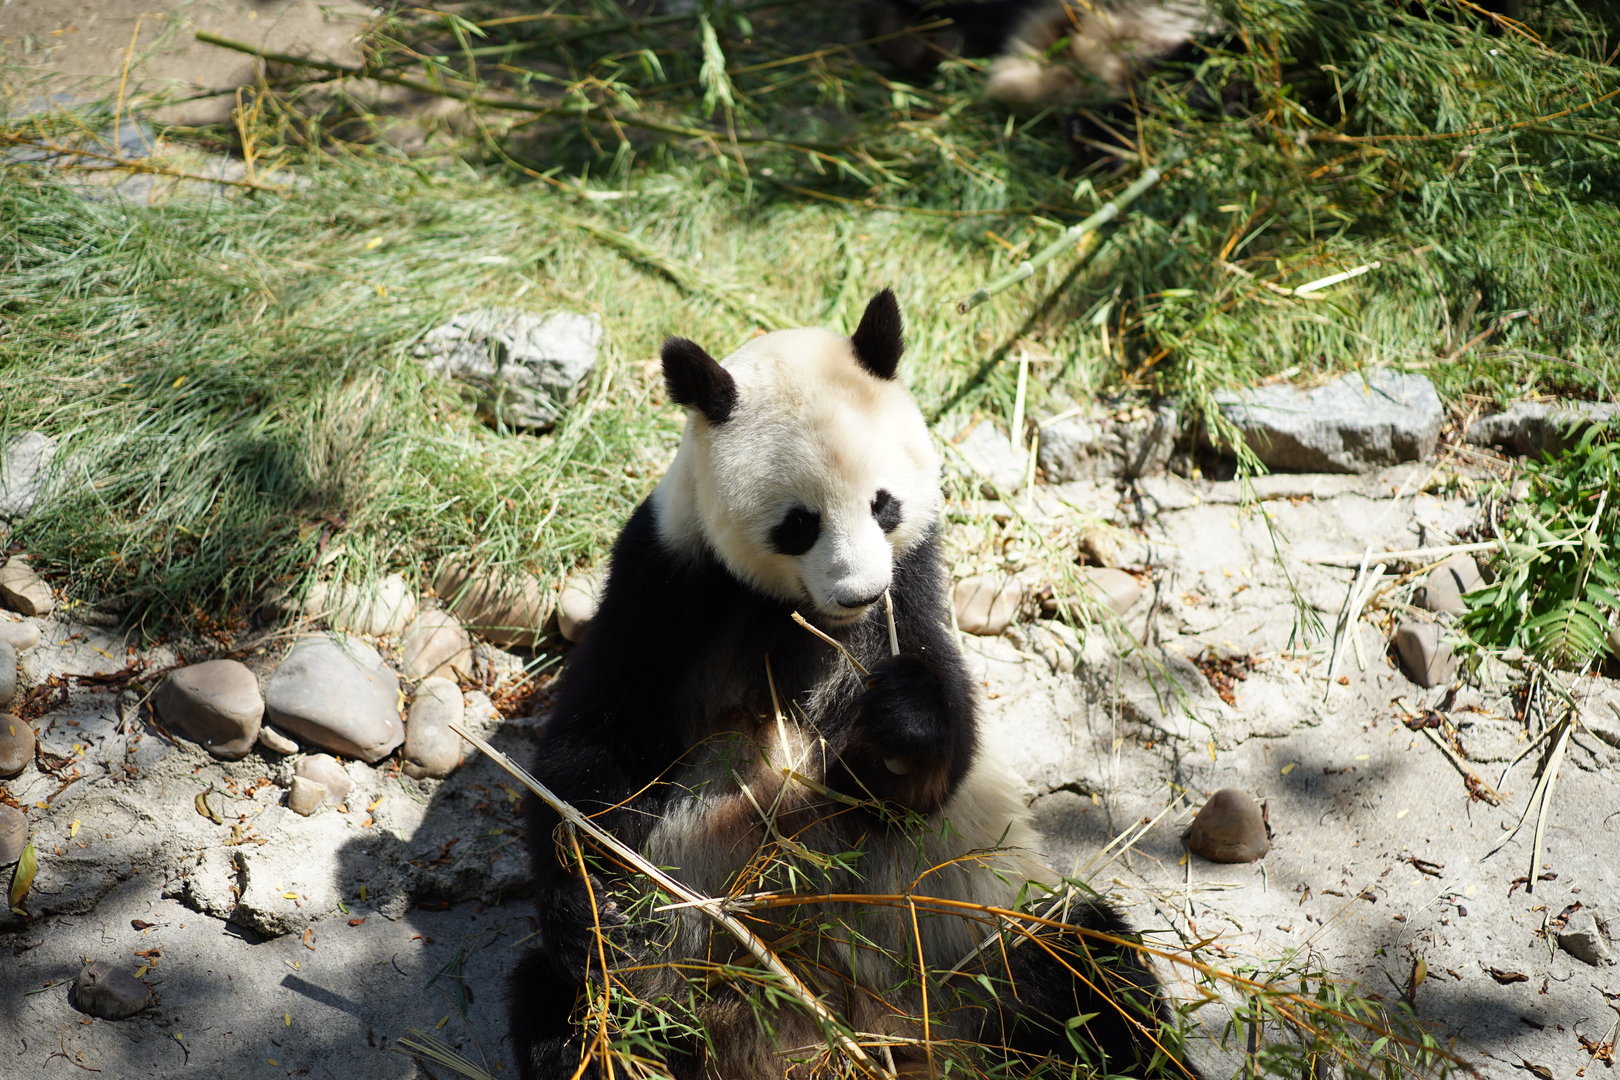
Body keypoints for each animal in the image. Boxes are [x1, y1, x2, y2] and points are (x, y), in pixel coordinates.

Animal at [508, 289, 1197, 1079]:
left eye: (883, 504)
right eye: (798, 524)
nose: (860, 591)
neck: (797, 612)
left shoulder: (916, 580)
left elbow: (919, 766)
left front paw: (898, 722)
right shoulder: (669, 578)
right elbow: (597, 745)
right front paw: (591, 913)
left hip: (981, 943)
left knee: (1091, 972)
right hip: (675, 976)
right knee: (568, 1008)